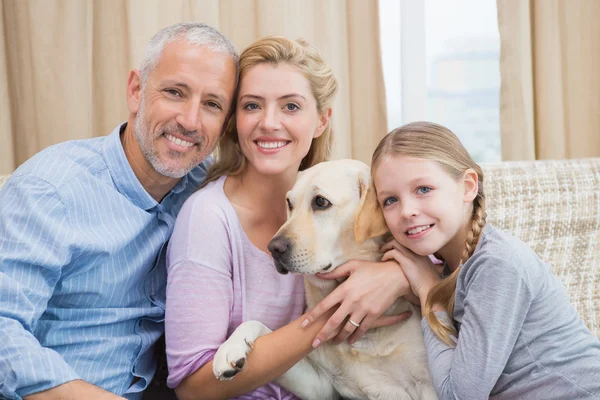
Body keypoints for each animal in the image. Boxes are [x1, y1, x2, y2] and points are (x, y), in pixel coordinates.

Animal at [212, 160, 436, 400]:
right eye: (289, 203)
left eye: (320, 202)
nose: (273, 248)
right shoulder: (321, 386)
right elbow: (258, 325)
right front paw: (231, 347)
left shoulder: (426, 385)